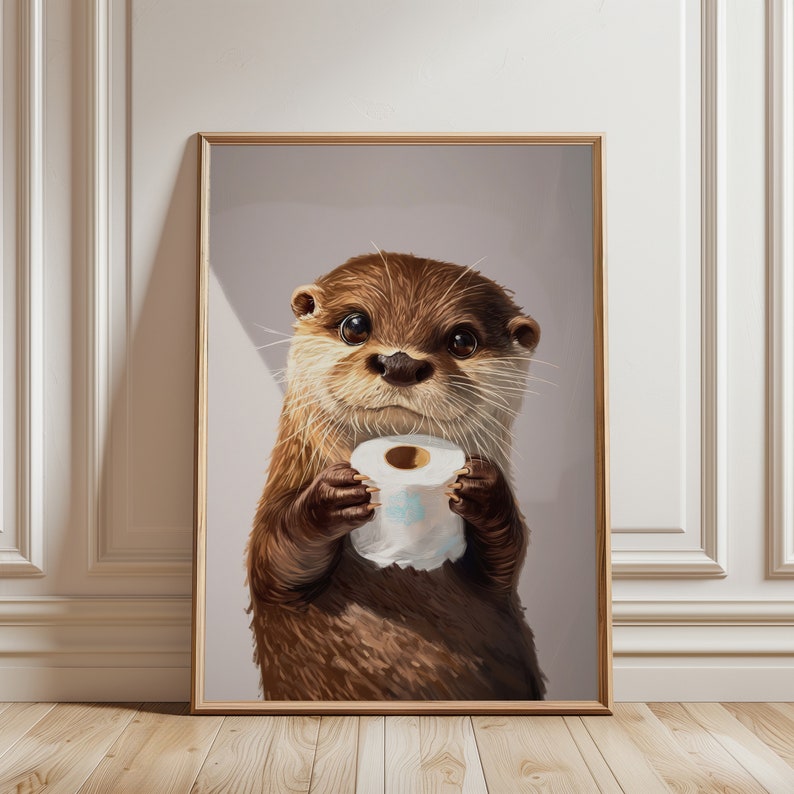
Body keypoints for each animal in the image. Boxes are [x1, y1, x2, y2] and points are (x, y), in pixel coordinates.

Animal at [247, 252, 546, 700]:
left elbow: (509, 557)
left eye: (462, 340)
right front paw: (333, 497)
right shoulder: (271, 529)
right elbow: (275, 558)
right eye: (355, 325)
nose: (400, 363)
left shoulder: (501, 586)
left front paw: (484, 493)